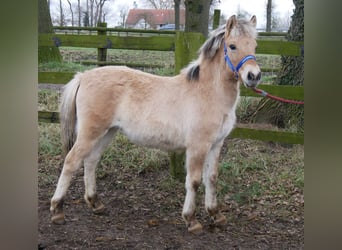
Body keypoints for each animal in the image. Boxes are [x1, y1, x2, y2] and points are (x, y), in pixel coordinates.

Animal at [50, 15, 262, 233]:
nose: (254, 76)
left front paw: (215, 215)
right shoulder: (198, 146)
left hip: (107, 132)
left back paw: (95, 203)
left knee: (91, 161)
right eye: (233, 46)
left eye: (254, 45)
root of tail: (82, 76)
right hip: (90, 133)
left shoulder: (216, 144)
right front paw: (191, 219)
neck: (208, 92)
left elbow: (211, 178)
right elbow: (194, 181)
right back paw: (57, 210)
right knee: (71, 162)